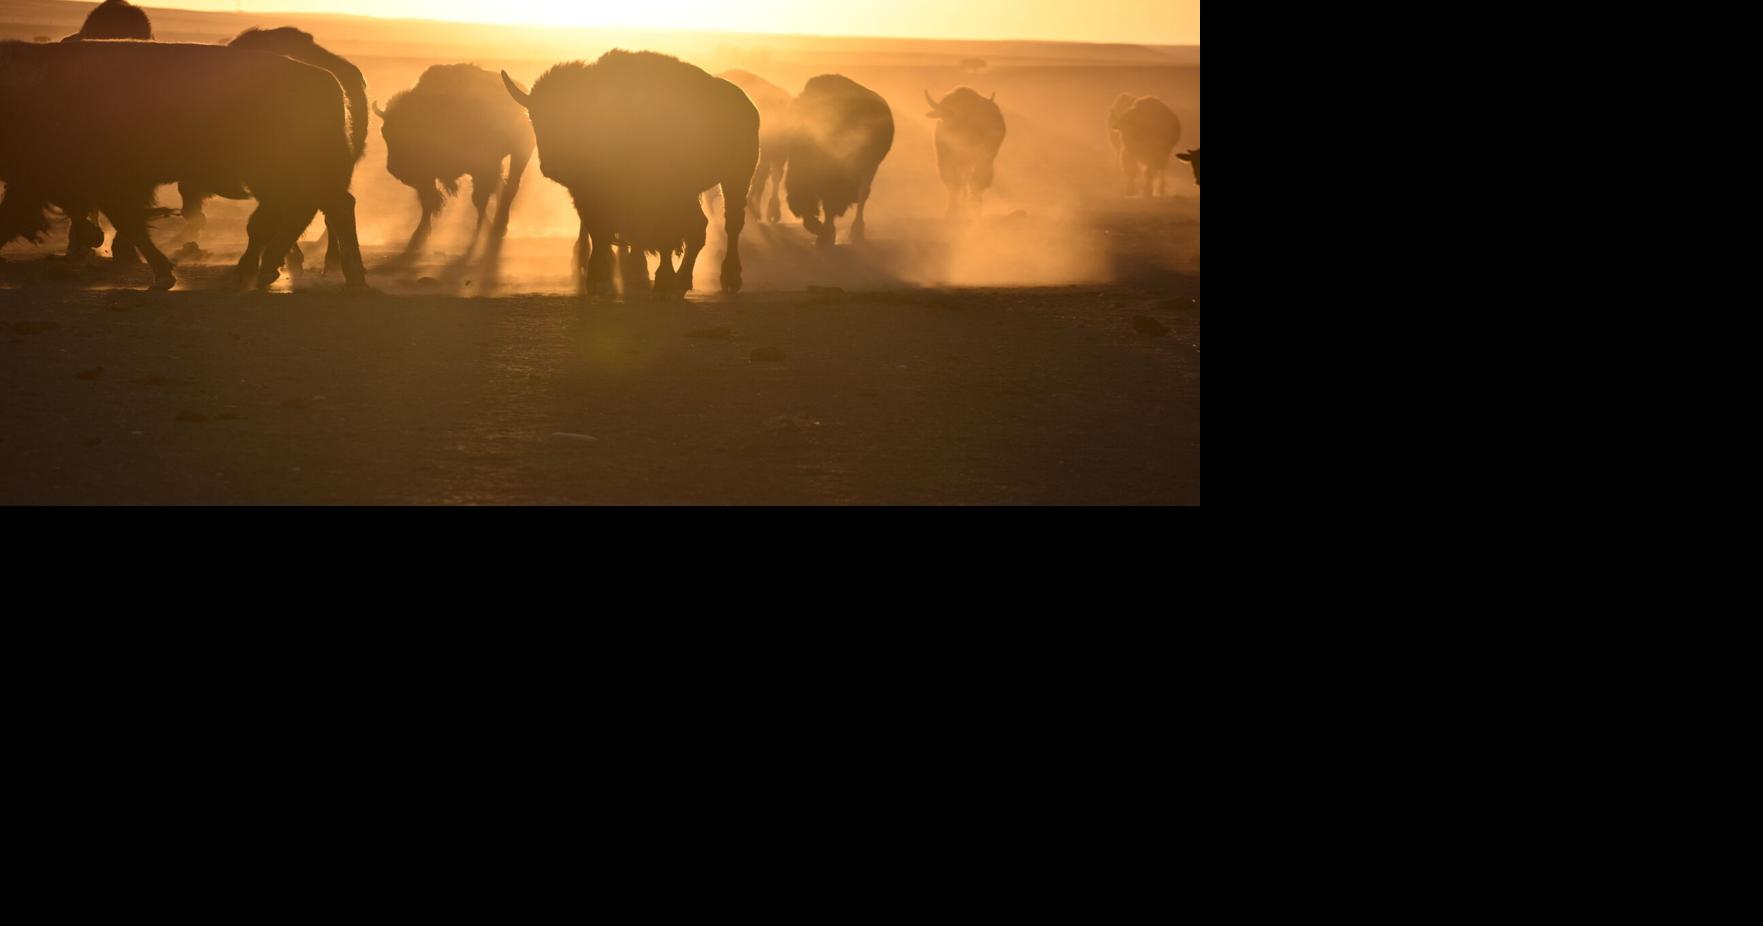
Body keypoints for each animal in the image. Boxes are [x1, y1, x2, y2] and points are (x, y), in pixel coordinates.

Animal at [0, 40, 366, 289]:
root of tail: (329, 80)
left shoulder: (108, 185)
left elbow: (130, 224)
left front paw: (163, 274)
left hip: (287, 175)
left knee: (323, 210)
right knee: (317, 210)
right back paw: (276, 271)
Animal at [375, 64, 535, 265]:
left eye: (410, 130)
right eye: (385, 131)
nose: (394, 168)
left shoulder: (482, 167)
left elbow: (478, 199)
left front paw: (481, 232)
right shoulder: (427, 177)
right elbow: (429, 203)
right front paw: (417, 239)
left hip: (520, 152)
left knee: (509, 186)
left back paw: (498, 227)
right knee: (502, 187)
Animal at [502, 50, 759, 296]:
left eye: (578, 118)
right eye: (534, 117)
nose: (553, 166)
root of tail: (748, 106)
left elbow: (662, 236)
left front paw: (660, 279)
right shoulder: (589, 195)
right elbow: (599, 231)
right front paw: (598, 279)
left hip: (736, 178)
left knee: (729, 223)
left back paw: (726, 279)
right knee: (698, 227)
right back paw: (682, 280)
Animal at [783, 74, 893, 247]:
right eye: (791, 149)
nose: (798, 203)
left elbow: (831, 206)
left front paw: (825, 235)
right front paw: (822, 232)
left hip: (871, 170)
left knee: (862, 198)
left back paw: (857, 232)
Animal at [924, 87, 1005, 217]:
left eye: (972, 115)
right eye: (948, 113)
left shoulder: (983, 159)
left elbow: (976, 181)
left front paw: (974, 208)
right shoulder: (945, 159)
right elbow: (953, 183)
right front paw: (952, 211)